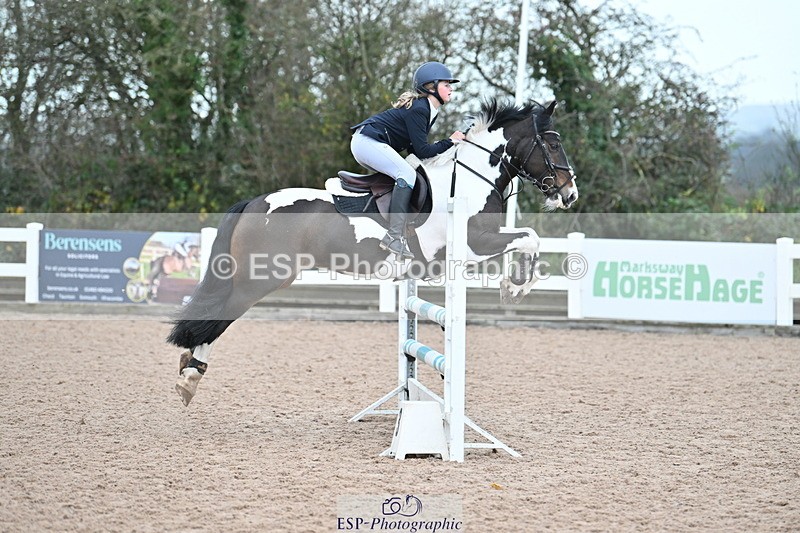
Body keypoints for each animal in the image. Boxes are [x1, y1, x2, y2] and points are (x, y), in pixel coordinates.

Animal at [168, 98, 579, 406]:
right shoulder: (472, 244)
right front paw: (516, 287)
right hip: (258, 280)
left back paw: (190, 369)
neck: (467, 179)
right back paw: (190, 377)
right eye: (553, 144)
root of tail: (253, 202)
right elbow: (529, 237)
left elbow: (529, 236)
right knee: (217, 318)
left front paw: (515, 285)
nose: (569, 193)